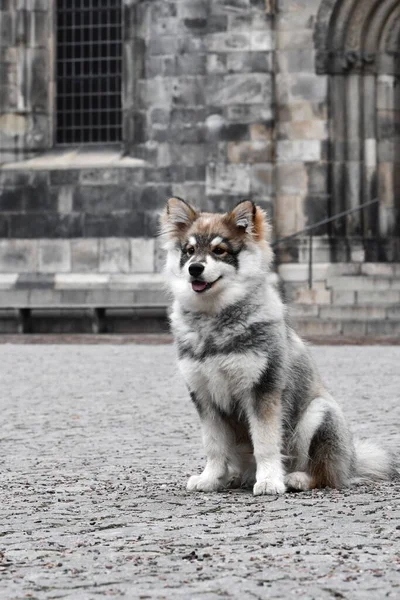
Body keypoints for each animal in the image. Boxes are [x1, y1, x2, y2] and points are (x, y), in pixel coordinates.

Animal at [160, 199, 396, 494]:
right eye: (189, 251)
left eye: (219, 250)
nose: (195, 268)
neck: (214, 320)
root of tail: (352, 463)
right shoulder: (204, 396)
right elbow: (214, 446)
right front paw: (211, 478)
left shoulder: (263, 392)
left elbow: (265, 443)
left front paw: (270, 480)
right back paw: (235, 477)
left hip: (318, 414)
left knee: (326, 475)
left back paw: (296, 478)